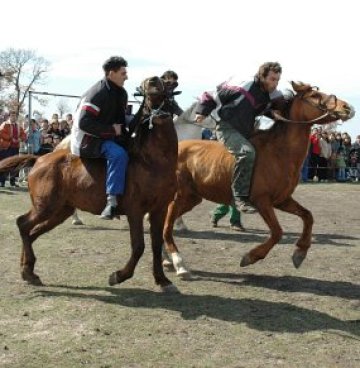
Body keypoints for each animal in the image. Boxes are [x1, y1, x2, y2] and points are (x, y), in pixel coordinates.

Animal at [0, 77, 180, 294]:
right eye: (147, 92)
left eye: (166, 85)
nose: (152, 80)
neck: (152, 161)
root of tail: (40, 159)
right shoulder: (135, 211)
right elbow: (138, 246)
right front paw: (118, 276)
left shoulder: (159, 210)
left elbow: (156, 245)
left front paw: (162, 280)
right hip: (45, 206)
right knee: (23, 224)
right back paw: (28, 271)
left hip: (60, 211)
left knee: (31, 232)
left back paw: (27, 270)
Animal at [162, 80, 354, 276]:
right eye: (315, 96)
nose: (347, 107)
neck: (278, 152)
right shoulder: (261, 201)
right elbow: (277, 232)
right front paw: (251, 256)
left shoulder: (282, 200)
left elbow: (308, 217)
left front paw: (300, 252)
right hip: (177, 198)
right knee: (166, 229)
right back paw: (179, 263)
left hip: (191, 199)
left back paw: (167, 261)